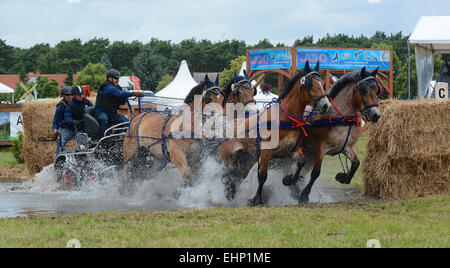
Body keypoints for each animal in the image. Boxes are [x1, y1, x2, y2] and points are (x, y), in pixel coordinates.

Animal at [214, 60, 330, 204]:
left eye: (322, 84)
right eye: (311, 84)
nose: (325, 105)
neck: (284, 118)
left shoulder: (293, 149)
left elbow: (301, 161)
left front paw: (289, 180)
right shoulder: (266, 151)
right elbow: (262, 175)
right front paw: (257, 199)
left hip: (246, 159)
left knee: (238, 175)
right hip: (227, 157)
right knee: (228, 173)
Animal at [284, 66, 382, 203]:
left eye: (376, 90)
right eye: (364, 89)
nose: (376, 115)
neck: (340, 119)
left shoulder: (348, 147)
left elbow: (356, 164)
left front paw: (343, 177)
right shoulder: (321, 147)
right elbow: (316, 172)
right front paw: (304, 195)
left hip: (308, 155)